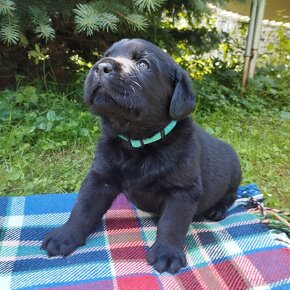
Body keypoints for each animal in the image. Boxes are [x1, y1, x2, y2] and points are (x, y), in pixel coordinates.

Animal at [42, 39, 241, 274]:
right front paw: (65, 236)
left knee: (230, 196)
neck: (137, 143)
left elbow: (171, 223)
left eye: (144, 64)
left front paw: (166, 253)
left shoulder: (182, 190)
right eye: (105, 55)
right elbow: (83, 208)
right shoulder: (99, 178)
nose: (101, 67)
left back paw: (217, 210)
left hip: (234, 172)